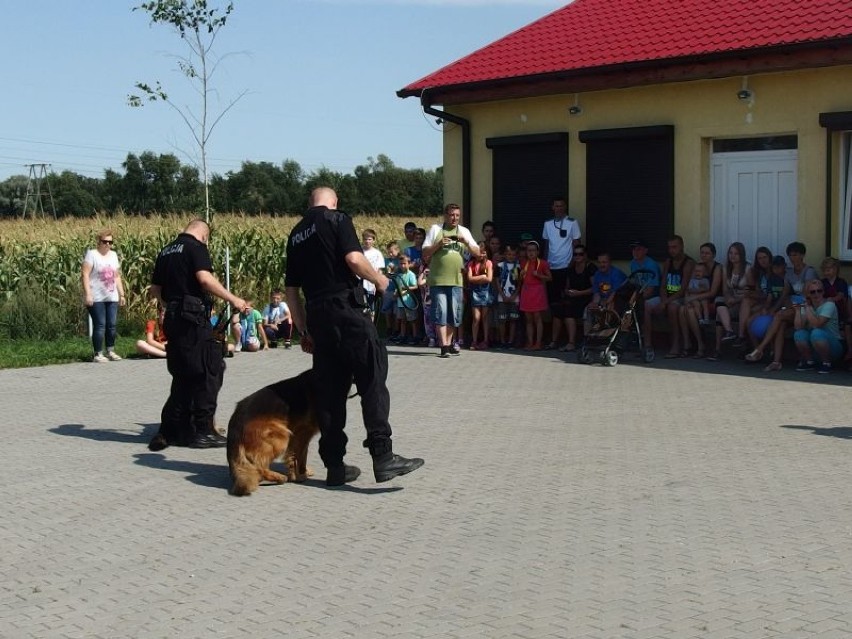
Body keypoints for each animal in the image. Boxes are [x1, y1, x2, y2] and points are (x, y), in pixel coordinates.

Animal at [226, 368, 320, 498]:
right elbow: (300, 457)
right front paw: (301, 475)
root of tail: (235, 421)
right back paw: (278, 477)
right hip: (280, 437)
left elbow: (296, 455)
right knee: (259, 466)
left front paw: (298, 473)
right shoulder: (304, 433)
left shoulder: (299, 435)